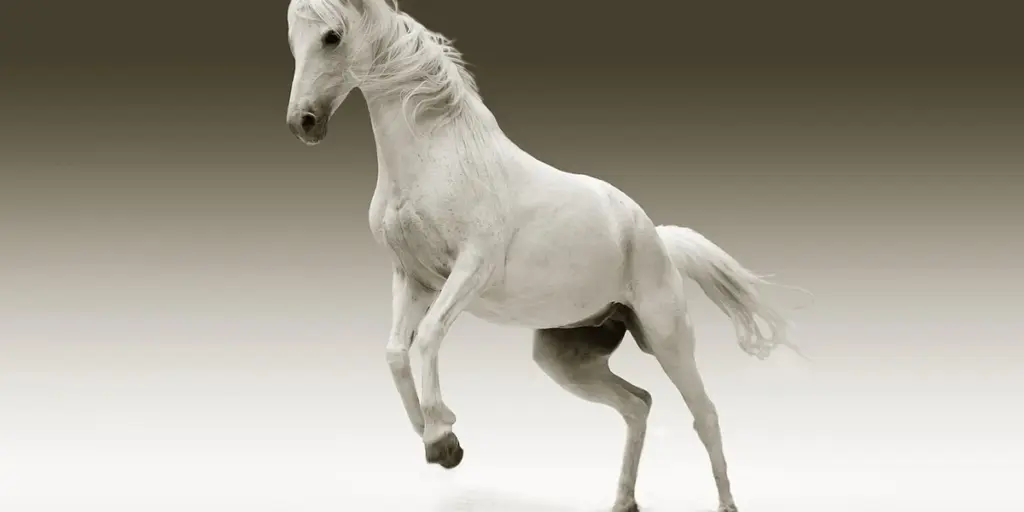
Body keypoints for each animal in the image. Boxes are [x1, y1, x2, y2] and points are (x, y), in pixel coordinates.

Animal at [284, 1, 806, 510]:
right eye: (293, 39)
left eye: (332, 36)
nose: (302, 123)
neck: (438, 156)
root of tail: (655, 237)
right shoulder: (412, 278)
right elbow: (395, 352)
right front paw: (432, 434)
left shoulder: (471, 268)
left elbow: (429, 336)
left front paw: (442, 438)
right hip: (565, 358)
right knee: (638, 404)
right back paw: (623, 501)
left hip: (667, 337)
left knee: (705, 415)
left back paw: (724, 503)